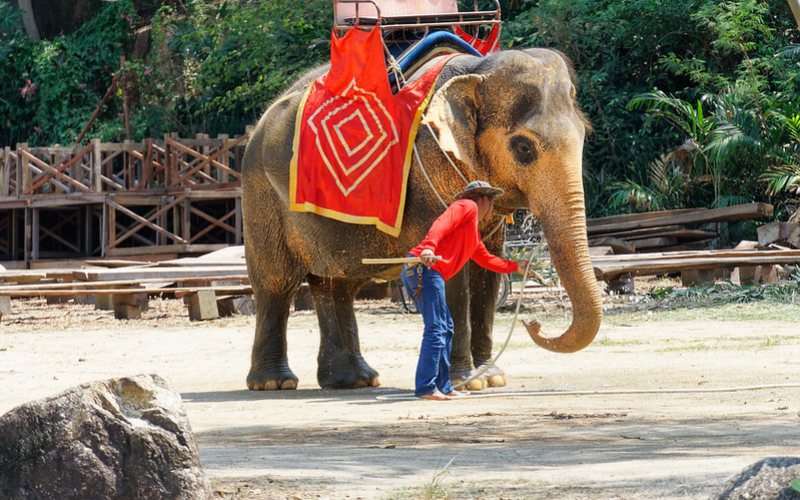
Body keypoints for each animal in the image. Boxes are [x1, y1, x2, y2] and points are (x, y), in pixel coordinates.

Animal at [241, 47, 604, 390]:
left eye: (585, 134)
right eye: (524, 148)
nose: (533, 324)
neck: (477, 71)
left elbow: (487, 270)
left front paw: (491, 378)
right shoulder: (428, 178)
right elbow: (451, 266)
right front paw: (469, 381)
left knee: (335, 284)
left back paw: (355, 380)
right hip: (260, 193)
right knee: (276, 283)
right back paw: (274, 382)